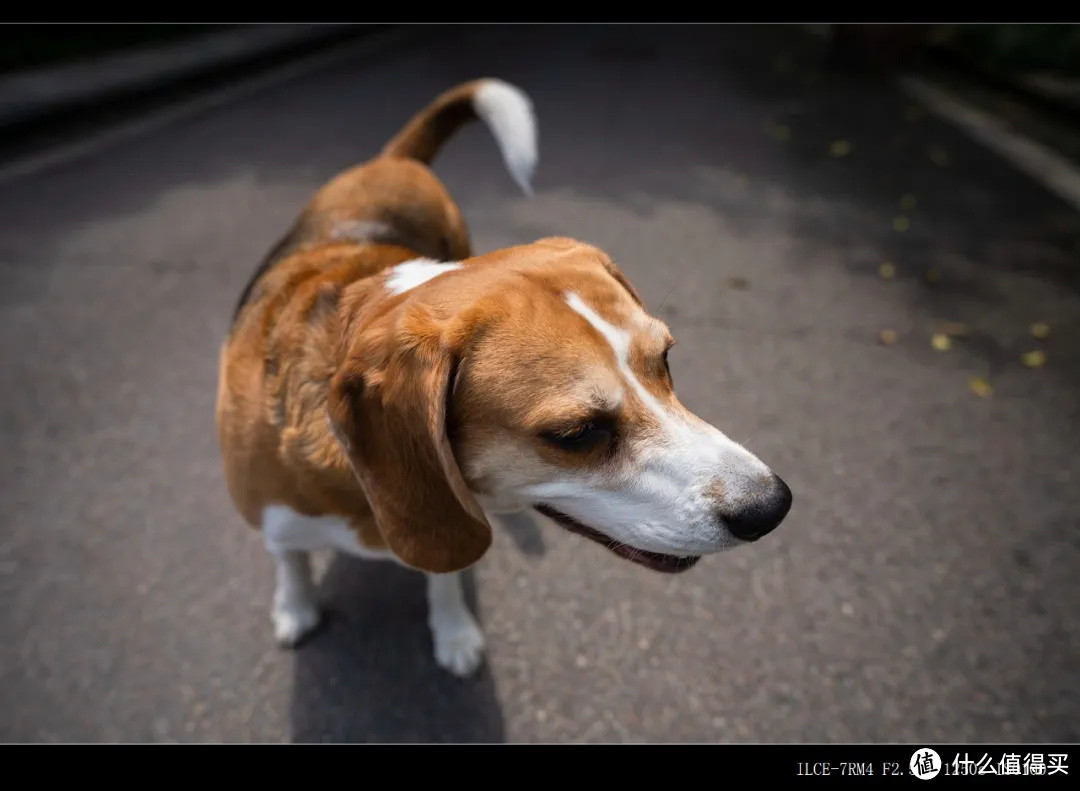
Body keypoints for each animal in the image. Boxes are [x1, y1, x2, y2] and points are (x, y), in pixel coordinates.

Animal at [217, 78, 794, 674]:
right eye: (576, 434)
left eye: (665, 361)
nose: (771, 507)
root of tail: (393, 161)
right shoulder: (274, 515)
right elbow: (290, 558)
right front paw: (295, 607)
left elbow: (445, 575)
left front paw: (453, 631)